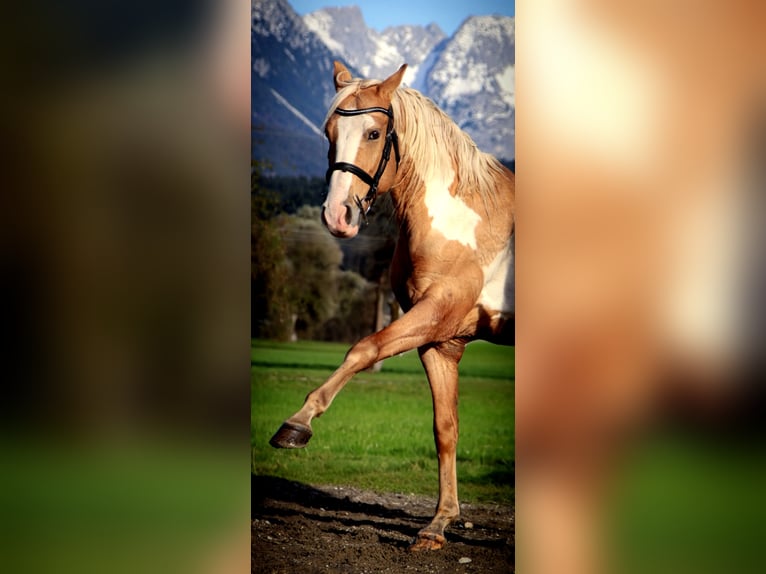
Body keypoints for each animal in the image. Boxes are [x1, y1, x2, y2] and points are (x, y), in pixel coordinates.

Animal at [270, 61, 515, 551]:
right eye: (328, 132)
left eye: (374, 133)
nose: (337, 216)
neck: (459, 221)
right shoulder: (442, 340)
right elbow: (445, 428)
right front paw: (439, 523)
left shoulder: (434, 313)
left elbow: (363, 349)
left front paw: (297, 423)